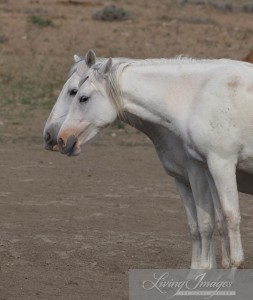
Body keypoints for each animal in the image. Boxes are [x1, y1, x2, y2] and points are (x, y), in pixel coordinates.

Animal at [55, 55, 253, 268]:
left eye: (81, 96)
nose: (61, 139)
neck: (197, 96)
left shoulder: (220, 166)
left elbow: (229, 220)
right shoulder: (206, 169)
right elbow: (217, 224)